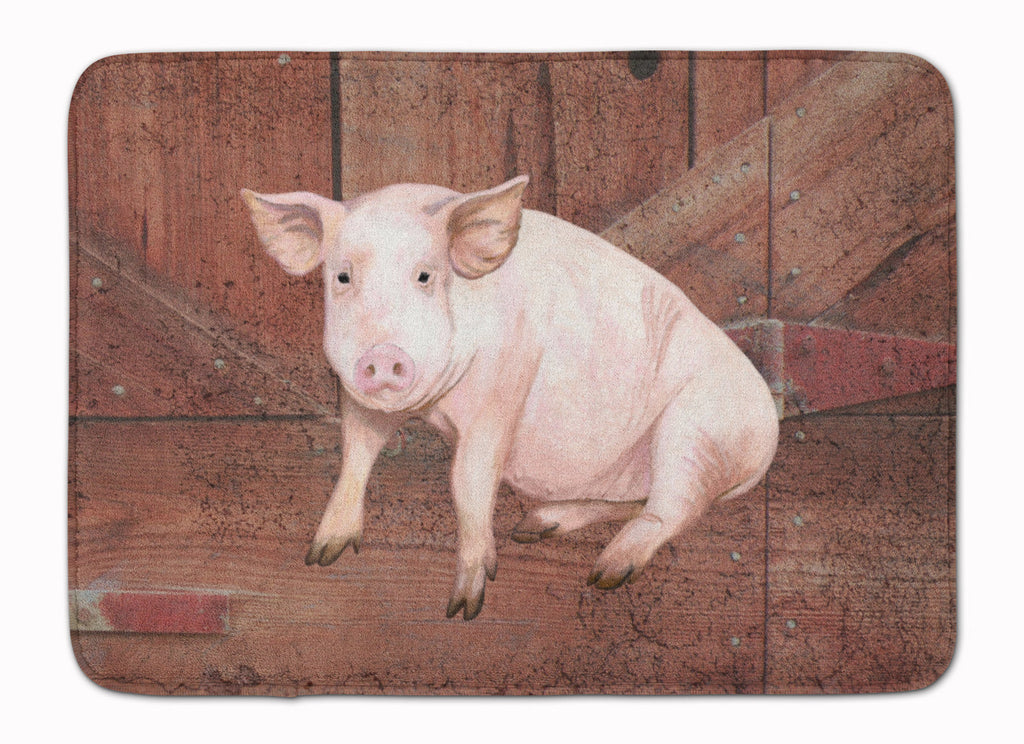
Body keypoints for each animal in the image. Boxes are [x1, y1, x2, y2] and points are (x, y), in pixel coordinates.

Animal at [241, 175, 778, 620]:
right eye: (343, 277)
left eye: (425, 276)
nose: (383, 355)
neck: (431, 409)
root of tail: (769, 433)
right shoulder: (359, 397)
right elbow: (356, 453)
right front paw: (319, 555)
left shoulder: (504, 386)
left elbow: (468, 480)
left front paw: (463, 607)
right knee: (640, 501)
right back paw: (537, 525)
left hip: (698, 430)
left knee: (675, 508)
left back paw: (605, 573)